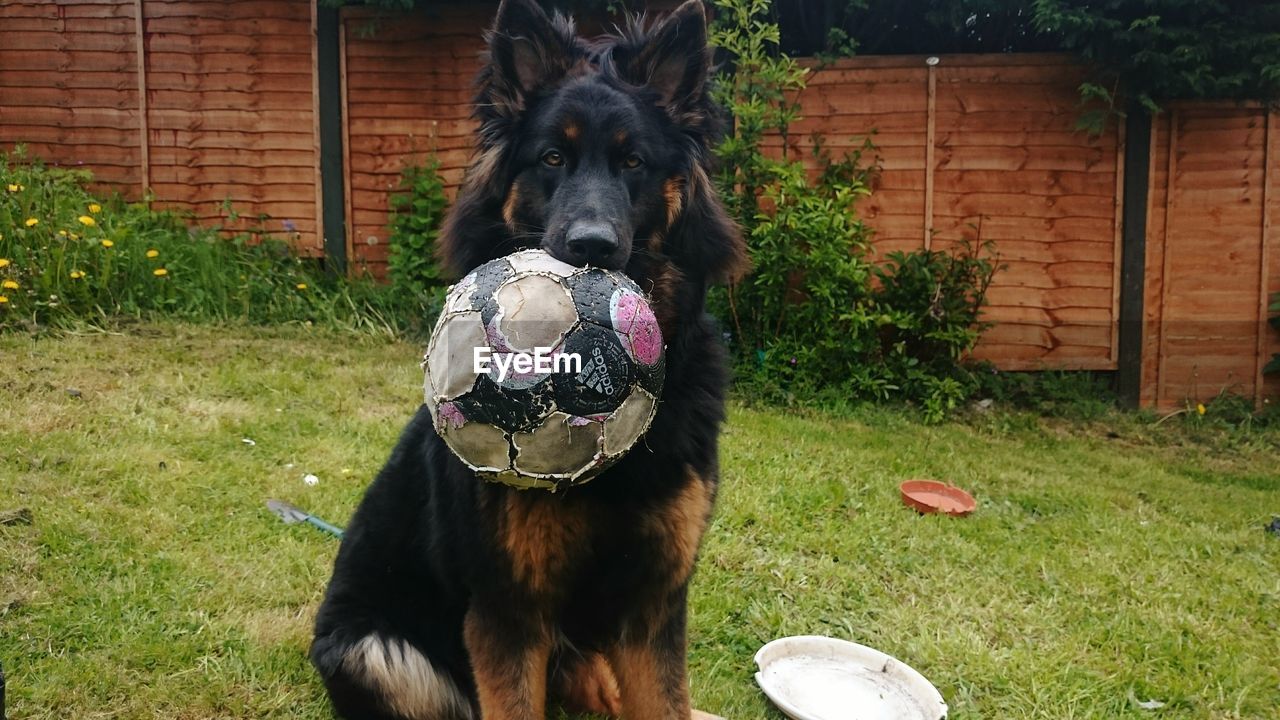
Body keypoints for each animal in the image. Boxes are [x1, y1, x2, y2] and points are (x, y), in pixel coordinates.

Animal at [311, 1, 747, 712]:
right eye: (552, 157)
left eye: (634, 162)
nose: (591, 246)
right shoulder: (508, 610)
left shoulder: (653, 604)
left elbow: (666, 701)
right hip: (378, 653)